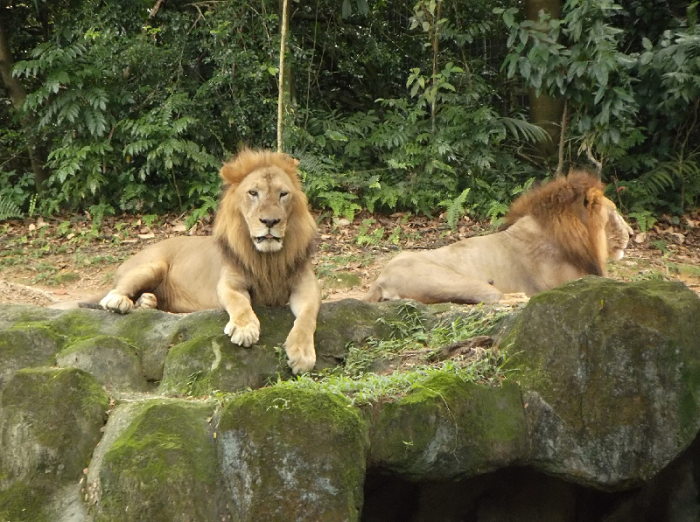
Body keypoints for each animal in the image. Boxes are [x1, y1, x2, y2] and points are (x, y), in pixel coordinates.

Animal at [63, 149, 321, 374]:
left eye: (283, 194)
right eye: (253, 193)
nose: (270, 222)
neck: (269, 258)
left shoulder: (306, 286)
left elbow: (308, 317)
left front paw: (302, 354)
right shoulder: (228, 283)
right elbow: (239, 303)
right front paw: (245, 329)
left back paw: (147, 302)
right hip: (153, 265)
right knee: (111, 294)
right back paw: (120, 302)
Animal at [364, 171, 633, 305]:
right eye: (614, 212)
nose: (632, 234)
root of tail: (380, 279)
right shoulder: (571, 281)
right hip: (449, 280)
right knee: (491, 298)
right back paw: (519, 298)